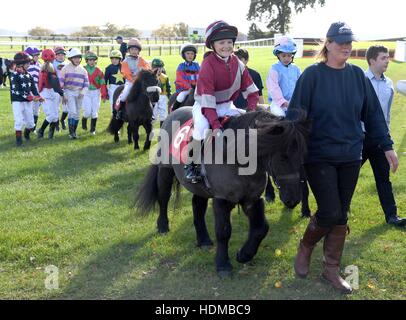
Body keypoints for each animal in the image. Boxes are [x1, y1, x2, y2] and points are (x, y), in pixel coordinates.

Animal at [135, 108, 310, 278]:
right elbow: (223, 232)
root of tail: (172, 113)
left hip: (200, 188)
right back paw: (163, 225)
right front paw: (223, 265)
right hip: (165, 171)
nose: (294, 198)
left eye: (302, 155)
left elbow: (262, 228)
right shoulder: (221, 200)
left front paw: (244, 254)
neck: (236, 157)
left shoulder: (252, 200)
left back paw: (204, 239)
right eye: (283, 157)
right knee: (163, 197)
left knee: (197, 206)